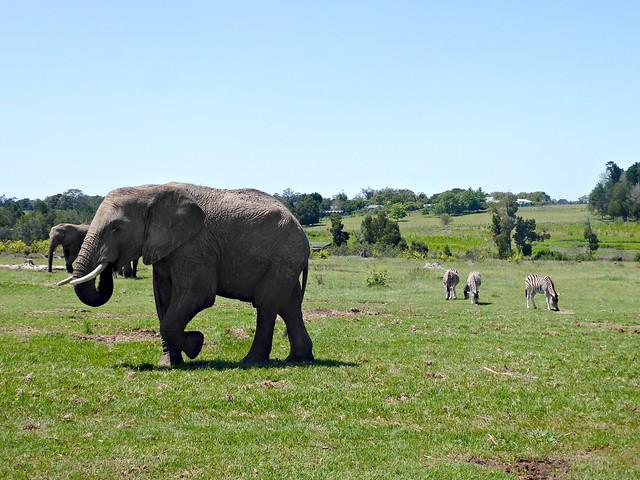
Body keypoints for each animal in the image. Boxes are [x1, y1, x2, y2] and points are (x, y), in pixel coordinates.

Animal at [60, 182, 314, 368]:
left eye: (116, 228)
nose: (109, 263)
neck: (151, 191)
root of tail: (300, 227)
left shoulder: (195, 246)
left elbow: (198, 295)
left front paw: (195, 344)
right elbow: (163, 299)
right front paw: (168, 364)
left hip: (284, 257)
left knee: (266, 305)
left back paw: (251, 361)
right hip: (286, 261)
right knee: (289, 305)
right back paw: (299, 358)